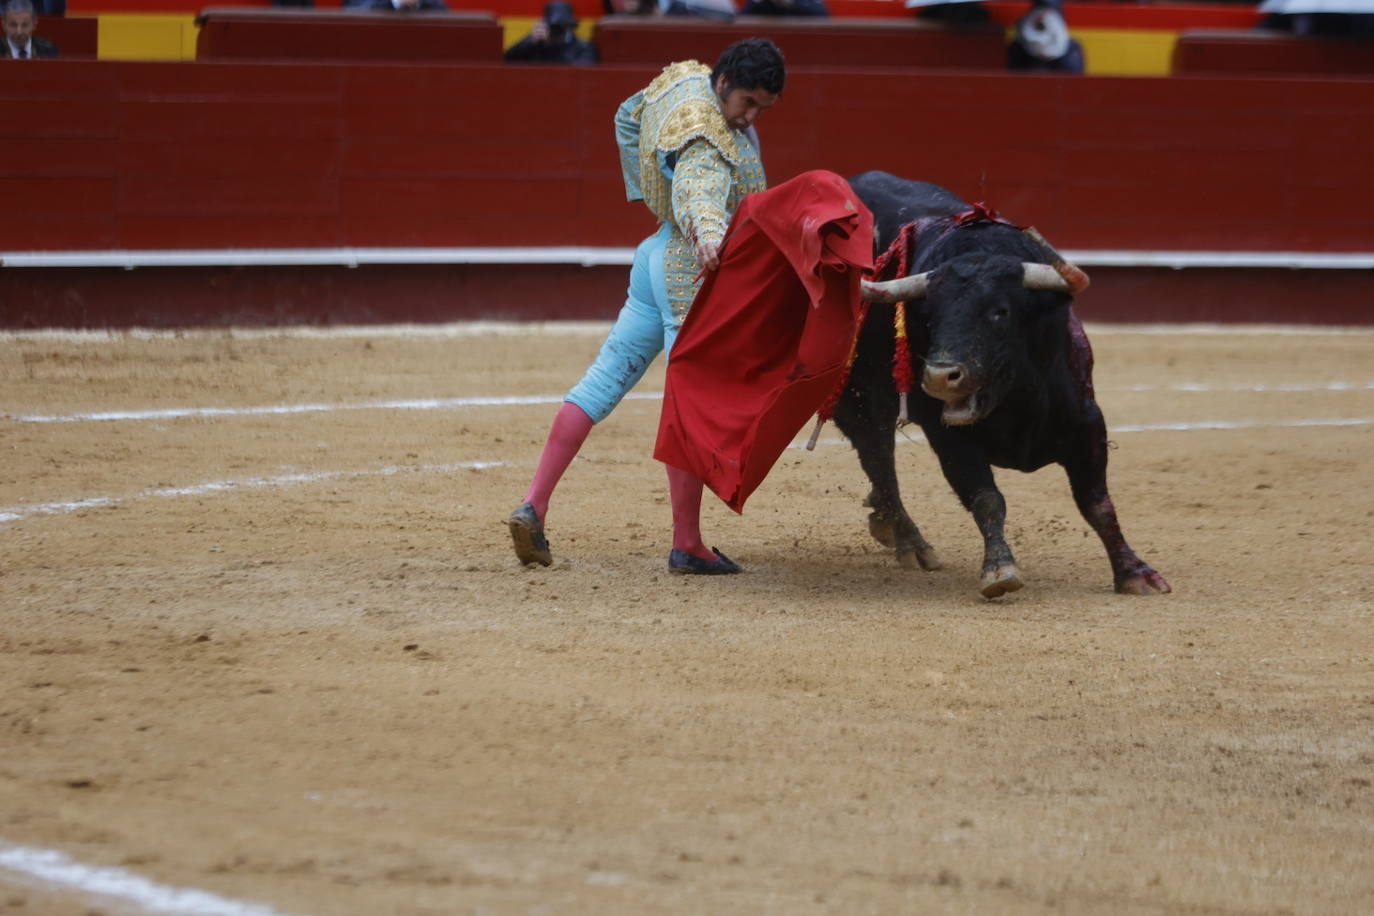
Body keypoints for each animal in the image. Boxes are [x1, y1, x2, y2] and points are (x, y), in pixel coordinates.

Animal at [824, 171, 1170, 601]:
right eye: (928, 314)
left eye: (999, 312)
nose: (939, 375)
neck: (1016, 399)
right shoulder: (948, 436)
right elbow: (987, 499)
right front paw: (999, 569)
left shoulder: (1087, 423)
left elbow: (1097, 503)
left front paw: (1134, 572)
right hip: (858, 401)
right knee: (879, 459)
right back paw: (911, 542)